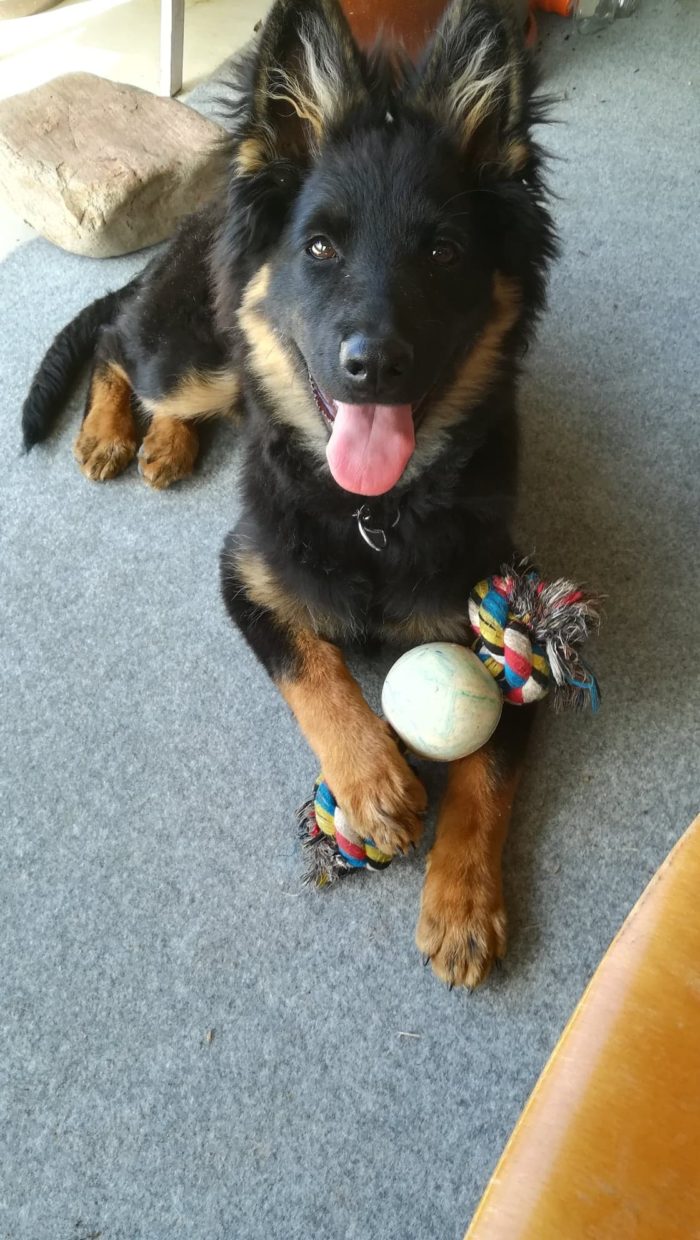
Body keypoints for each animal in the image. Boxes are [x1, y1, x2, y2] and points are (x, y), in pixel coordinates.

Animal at [22, 0, 556, 987]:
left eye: (443, 253)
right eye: (319, 247)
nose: (373, 364)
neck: (372, 514)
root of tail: (198, 222)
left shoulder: (508, 612)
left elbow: (488, 771)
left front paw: (464, 901)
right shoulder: (244, 576)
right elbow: (312, 671)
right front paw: (373, 782)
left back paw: (163, 446)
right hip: (196, 354)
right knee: (117, 343)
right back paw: (113, 432)